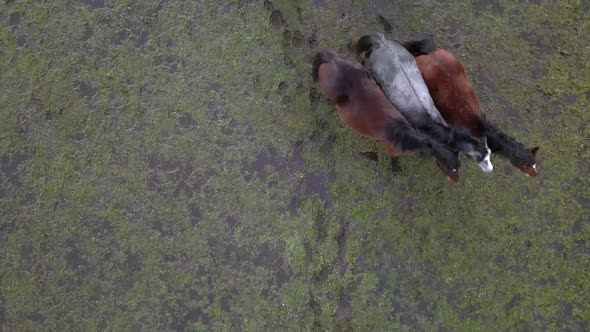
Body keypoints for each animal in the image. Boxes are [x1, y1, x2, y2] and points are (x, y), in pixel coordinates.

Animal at [312, 50, 464, 182]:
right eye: (450, 168)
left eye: (458, 166)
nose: (456, 180)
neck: (402, 135)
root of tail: (332, 60)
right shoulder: (392, 150)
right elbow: (394, 159)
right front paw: (395, 169)